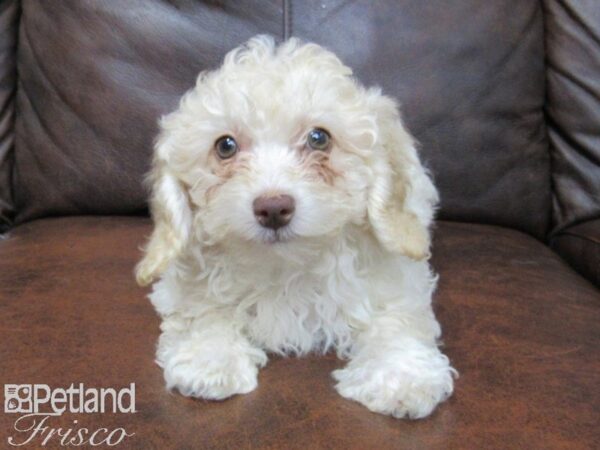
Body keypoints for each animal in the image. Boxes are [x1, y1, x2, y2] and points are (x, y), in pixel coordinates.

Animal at [135, 35, 454, 418]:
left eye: (319, 138)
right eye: (225, 146)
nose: (273, 208)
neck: (287, 266)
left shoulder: (396, 277)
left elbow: (395, 318)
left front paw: (400, 376)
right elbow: (203, 308)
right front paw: (210, 360)